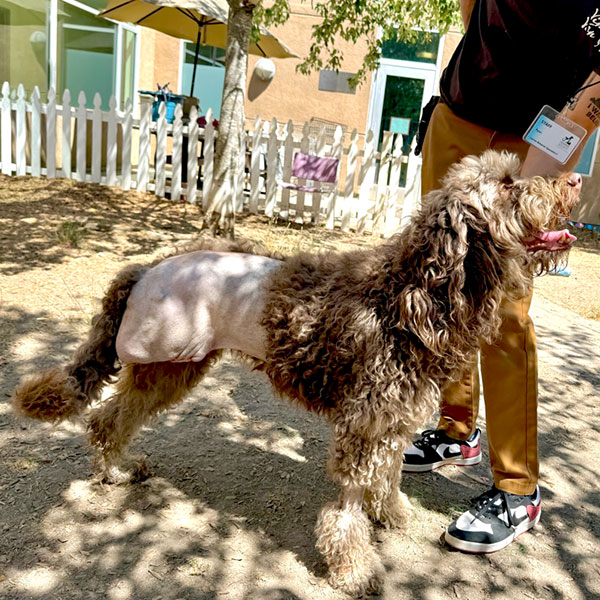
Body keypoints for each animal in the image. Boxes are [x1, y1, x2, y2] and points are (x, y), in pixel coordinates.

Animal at [11, 151, 580, 596]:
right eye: (507, 184)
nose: (575, 180)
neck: (413, 296)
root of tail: (145, 267)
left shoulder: (393, 421)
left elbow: (389, 476)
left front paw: (392, 513)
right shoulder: (362, 426)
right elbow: (348, 506)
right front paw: (353, 568)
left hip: (174, 366)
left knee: (112, 417)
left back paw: (119, 468)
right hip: (166, 360)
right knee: (108, 418)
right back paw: (113, 471)